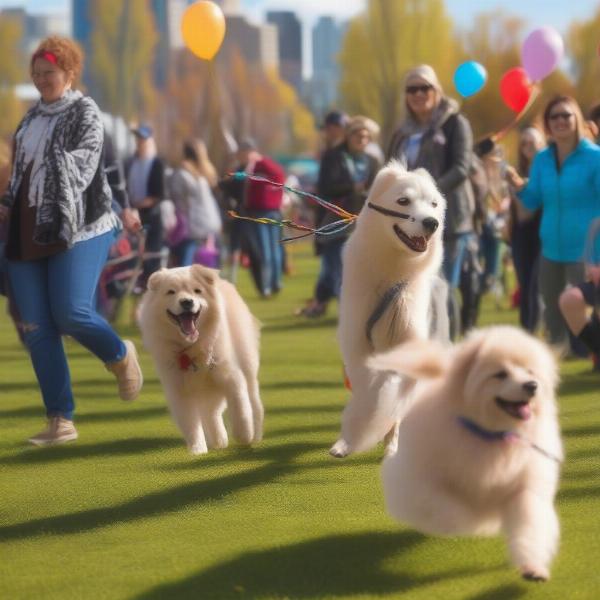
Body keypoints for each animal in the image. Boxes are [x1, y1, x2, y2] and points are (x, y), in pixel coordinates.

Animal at [141, 264, 264, 452]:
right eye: (171, 292)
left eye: (197, 291)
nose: (186, 302)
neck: (191, 347)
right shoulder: (179, 391)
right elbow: (191, 426)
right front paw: (197, 451)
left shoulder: (231, 377)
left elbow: (241, 410)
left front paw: (244, 435)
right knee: (211, 413)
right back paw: (218, 441)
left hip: (248, 365)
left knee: (254, 402)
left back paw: (255, 434)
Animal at [330, 157, 448, 458]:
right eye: (403, 201)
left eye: (433, 204)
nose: (432, 223)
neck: (393, 271)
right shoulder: (358, 346)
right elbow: (366, 397)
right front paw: (352, 438)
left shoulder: (408, 342)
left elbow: (392, 400)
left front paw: (387, 439)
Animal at [372, 328, 564, 580]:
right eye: (500, 374)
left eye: (530, 371)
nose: (532, 385)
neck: (491, 435)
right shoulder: (421, 482)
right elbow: (447, 507)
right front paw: (468, 521)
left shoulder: (524, 486)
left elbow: (530, 523)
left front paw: (533, 567)